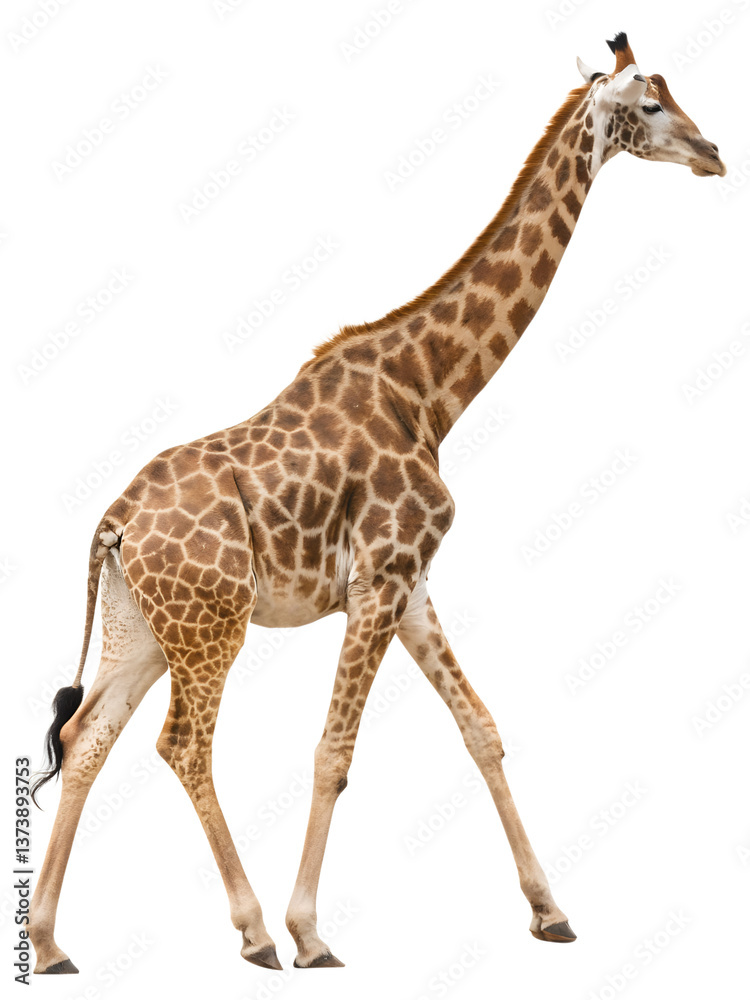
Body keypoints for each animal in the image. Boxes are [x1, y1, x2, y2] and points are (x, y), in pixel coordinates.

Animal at [29, 33, 725, 974]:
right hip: (213, 625)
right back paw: (252, 932)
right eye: (651, 106)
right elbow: (335, 751)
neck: (429, 391)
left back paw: (49, 942)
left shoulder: (414, 586)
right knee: (181, 744)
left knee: (84, 739)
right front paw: (310, 931)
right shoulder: (378, 580)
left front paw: (551, 912)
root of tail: (115, 521)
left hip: (141, 626)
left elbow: (481, 729)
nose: (714, 154)